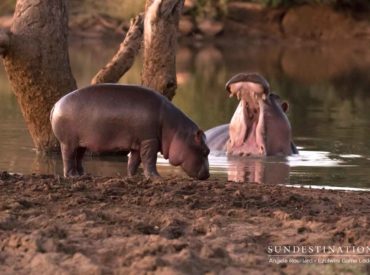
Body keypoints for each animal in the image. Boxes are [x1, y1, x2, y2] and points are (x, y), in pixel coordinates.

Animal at [50, 85, 210, 182]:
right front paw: (156, 178)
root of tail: (56, 104)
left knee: (78, 158)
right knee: (68, 158)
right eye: (205, 151)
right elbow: (149, 160)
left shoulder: (139, 143)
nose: (208, 175)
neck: (176, 130)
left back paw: (83, 175)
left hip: (81, 143)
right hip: (68, 142)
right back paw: (72, 176)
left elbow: (134, 161)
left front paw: (132, 177)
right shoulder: (149, 140)